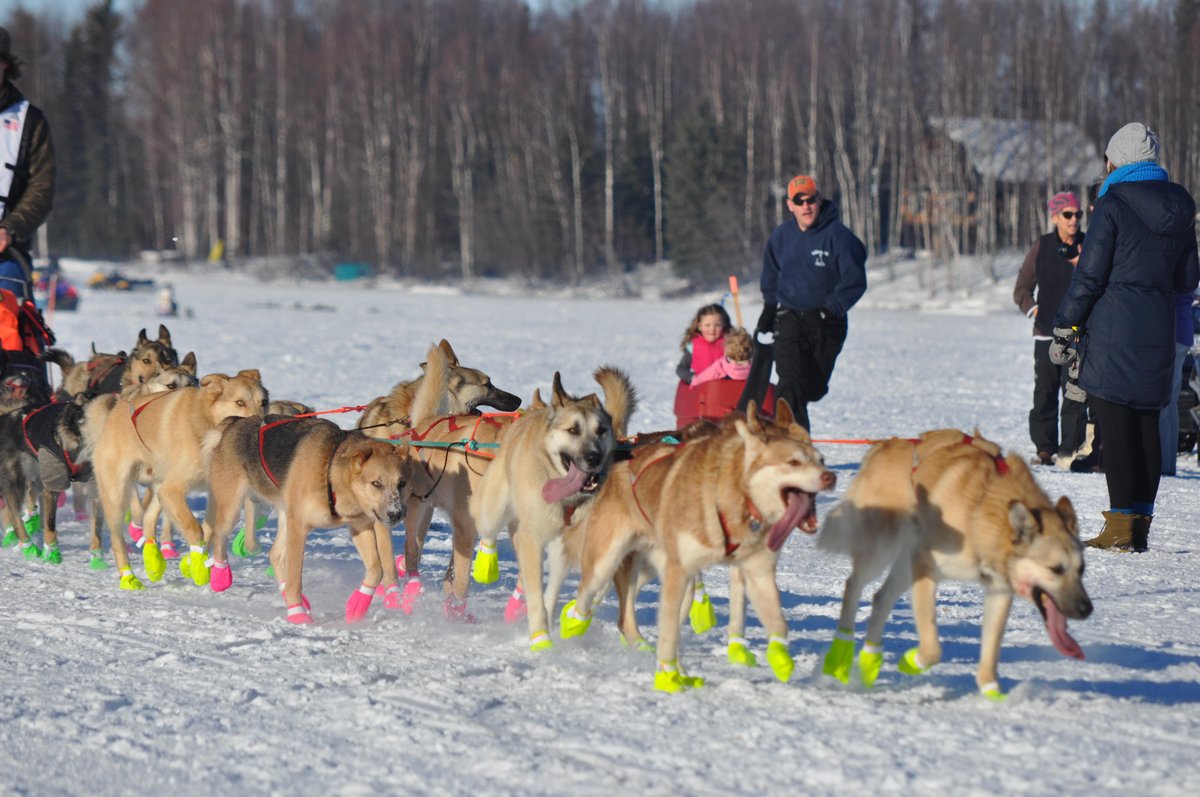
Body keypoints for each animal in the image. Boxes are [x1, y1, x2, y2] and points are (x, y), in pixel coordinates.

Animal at [85, 369, 270, 588]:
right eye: (240, 402)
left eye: (264, 402)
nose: (261, 424)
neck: (206, 424)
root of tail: (113, 412)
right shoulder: (174, 489)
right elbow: (195, 529)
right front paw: (197, 566)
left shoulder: (213, 491)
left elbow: (209, 530)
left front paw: (192, 563)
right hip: (118, 495)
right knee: (117, 539)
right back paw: (129, 577)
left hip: (160, 488)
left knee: (148, 518)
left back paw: (153, 560)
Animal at [204, 412, 434, 624]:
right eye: (376, 483)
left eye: (402, 483)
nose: (396, 513)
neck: (330, 472)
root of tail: (235, 421)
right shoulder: (299, 528)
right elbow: (296, 577)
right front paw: (296, 613)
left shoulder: (360, 527)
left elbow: (376, 569)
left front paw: (359, 603)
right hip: (233, 509)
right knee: (219, 536)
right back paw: (220, 577)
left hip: (285, 515)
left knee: (275, 555)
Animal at [468, 369, 638, 652]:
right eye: (573, 430)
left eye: (601, 431)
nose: (593, 457)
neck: (563, 494)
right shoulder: (532, 538)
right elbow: (536, 593)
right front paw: (541, 638)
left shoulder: (578, 541)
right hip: (491, 509)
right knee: (488, 530)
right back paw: (486, 564)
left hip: (561, 545)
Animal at [554, 400, 830, 696]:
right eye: (793, 462)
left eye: (820, 459)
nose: (829, 477)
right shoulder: (682, 567)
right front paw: (668, 677)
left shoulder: (751, 568)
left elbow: (761, 615)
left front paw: (764, 655)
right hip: (608, 560)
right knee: (591, 593)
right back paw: (573, 622)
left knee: (628, 601)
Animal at [820, 429, 1094, 696]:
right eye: (1056, 569)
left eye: (1081, 570)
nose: (1086, 609)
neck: (980, 511)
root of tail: (884, 445)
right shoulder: (925, 567)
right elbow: (932, 647)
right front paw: (912, 661)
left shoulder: (999, 590)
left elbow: (991, 648)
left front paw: (991, 691)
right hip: (881, 551)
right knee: (853, 586)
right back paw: (839, 656)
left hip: (905, 564)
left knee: (881, 598)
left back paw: (869, 662)